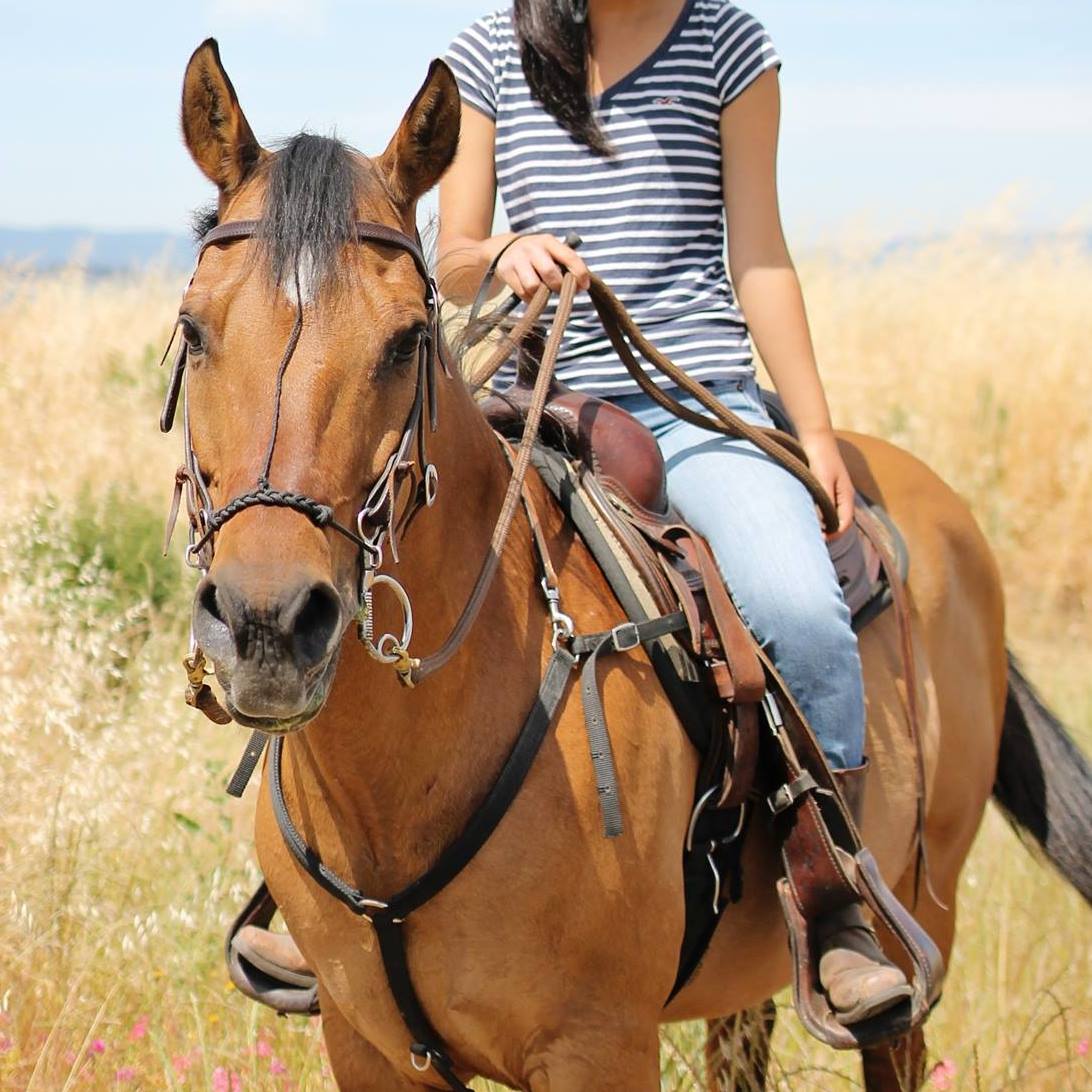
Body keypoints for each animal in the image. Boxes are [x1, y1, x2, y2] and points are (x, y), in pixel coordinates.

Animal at [170, 41, 1092, 1091]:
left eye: (406, 342)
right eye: (194, 330)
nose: (268, 624)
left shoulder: (598, 1044)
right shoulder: (366, 1046)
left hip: (918, 918)